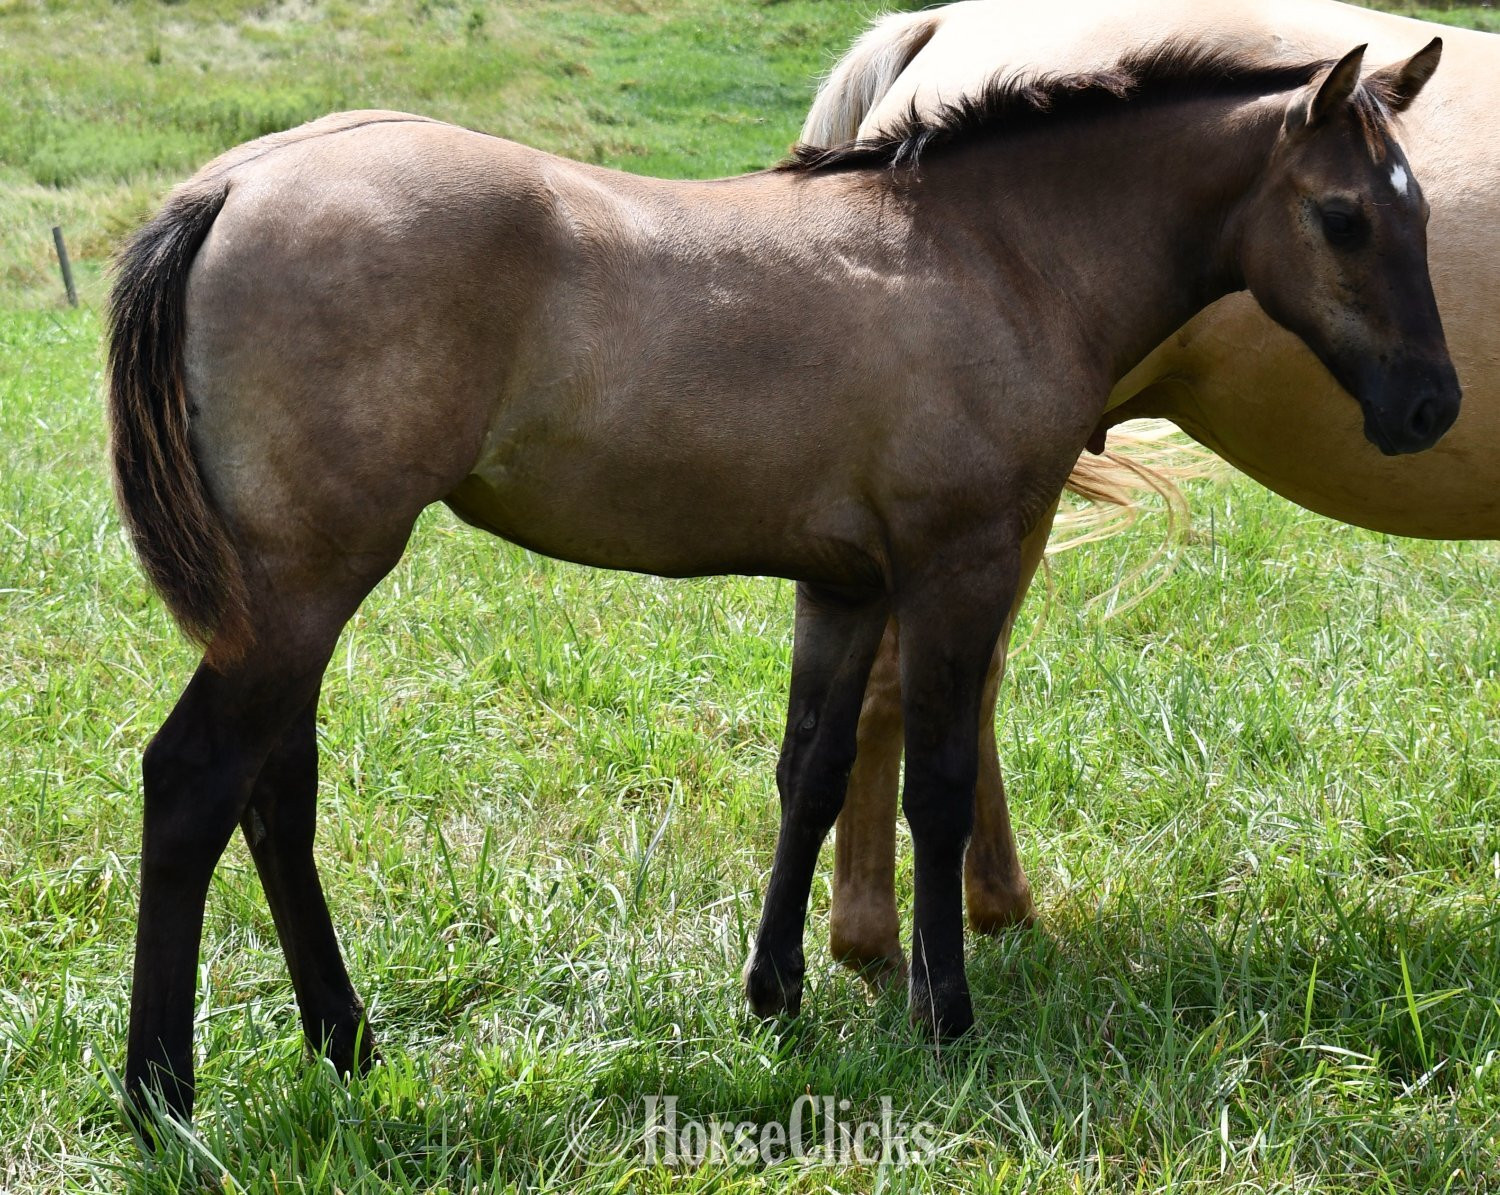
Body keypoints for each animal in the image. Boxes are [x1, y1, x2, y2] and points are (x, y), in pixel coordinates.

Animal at [108, 37, 1454, 1121]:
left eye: (1424, 214)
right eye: (1344, 216)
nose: (1431, 407)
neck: (997, 256)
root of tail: (235, 184)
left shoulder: (844, 587)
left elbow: (810, 770)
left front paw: (777, 992)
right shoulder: (956, 566)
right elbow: (933, 785)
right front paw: (944, 1014)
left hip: (289, 597)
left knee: (276, 794)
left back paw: (344, 1040)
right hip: (305, 588)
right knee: (194, 782)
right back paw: (161, 1091)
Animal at [806, 0, 1500, 981]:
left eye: (1428, 213)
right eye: (1341, 220)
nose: (1431, 405)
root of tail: (935, 26)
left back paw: (994, 910)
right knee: (904, 685)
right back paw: (874, 939)